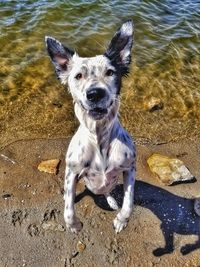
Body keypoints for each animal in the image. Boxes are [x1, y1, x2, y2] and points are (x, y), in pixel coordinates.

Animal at [45, 20, 136, 234]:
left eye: (110, 72)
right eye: (78, 76)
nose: (95, 93)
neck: (98, 134)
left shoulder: (130, 169)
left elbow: (129, 203)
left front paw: (121, 221)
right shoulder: (71, 173)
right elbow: (68, 211)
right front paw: (74, 226)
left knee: (107, 191)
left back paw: (111, 201)